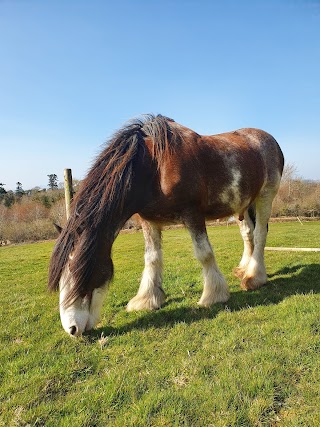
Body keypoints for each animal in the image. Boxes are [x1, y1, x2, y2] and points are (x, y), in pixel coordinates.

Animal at [48, 113, 284, 338]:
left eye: (80, 273)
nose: (71, 329)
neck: (153, 167)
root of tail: (268, 139)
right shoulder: (148, 221)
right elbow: (152, 259)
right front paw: (147, 300)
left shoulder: (192, 214)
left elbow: (204, 254)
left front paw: (213, 295)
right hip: (243, 206)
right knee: (248, 234)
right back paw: (244, 269)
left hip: (265, 196)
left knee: (260, 234)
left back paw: (254, 277)